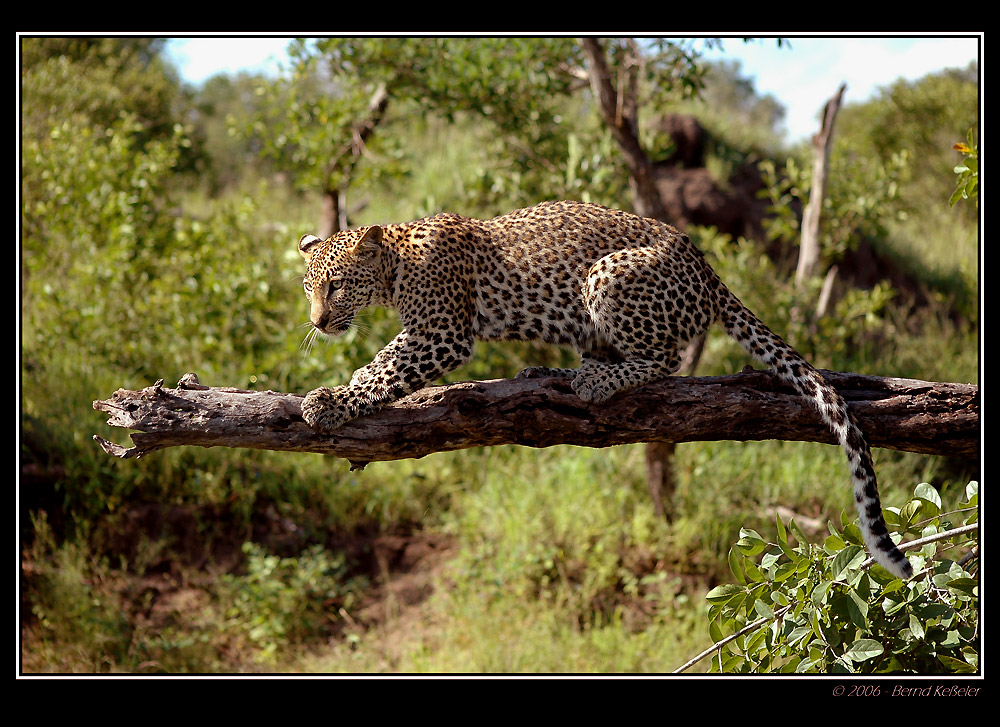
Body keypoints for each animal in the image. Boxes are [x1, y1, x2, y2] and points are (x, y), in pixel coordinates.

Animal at [294, 199, 916, 580]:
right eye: (308, 287)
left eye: (337, 285)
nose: (319, 322)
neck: (393, 269)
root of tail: (707, 268)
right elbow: (382, 362)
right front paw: (345, 385)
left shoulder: (443, 332)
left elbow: (389, 365)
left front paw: (332, 401)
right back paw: (551, 375)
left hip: (608, 274)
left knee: (664, 361)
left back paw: (590, 382)